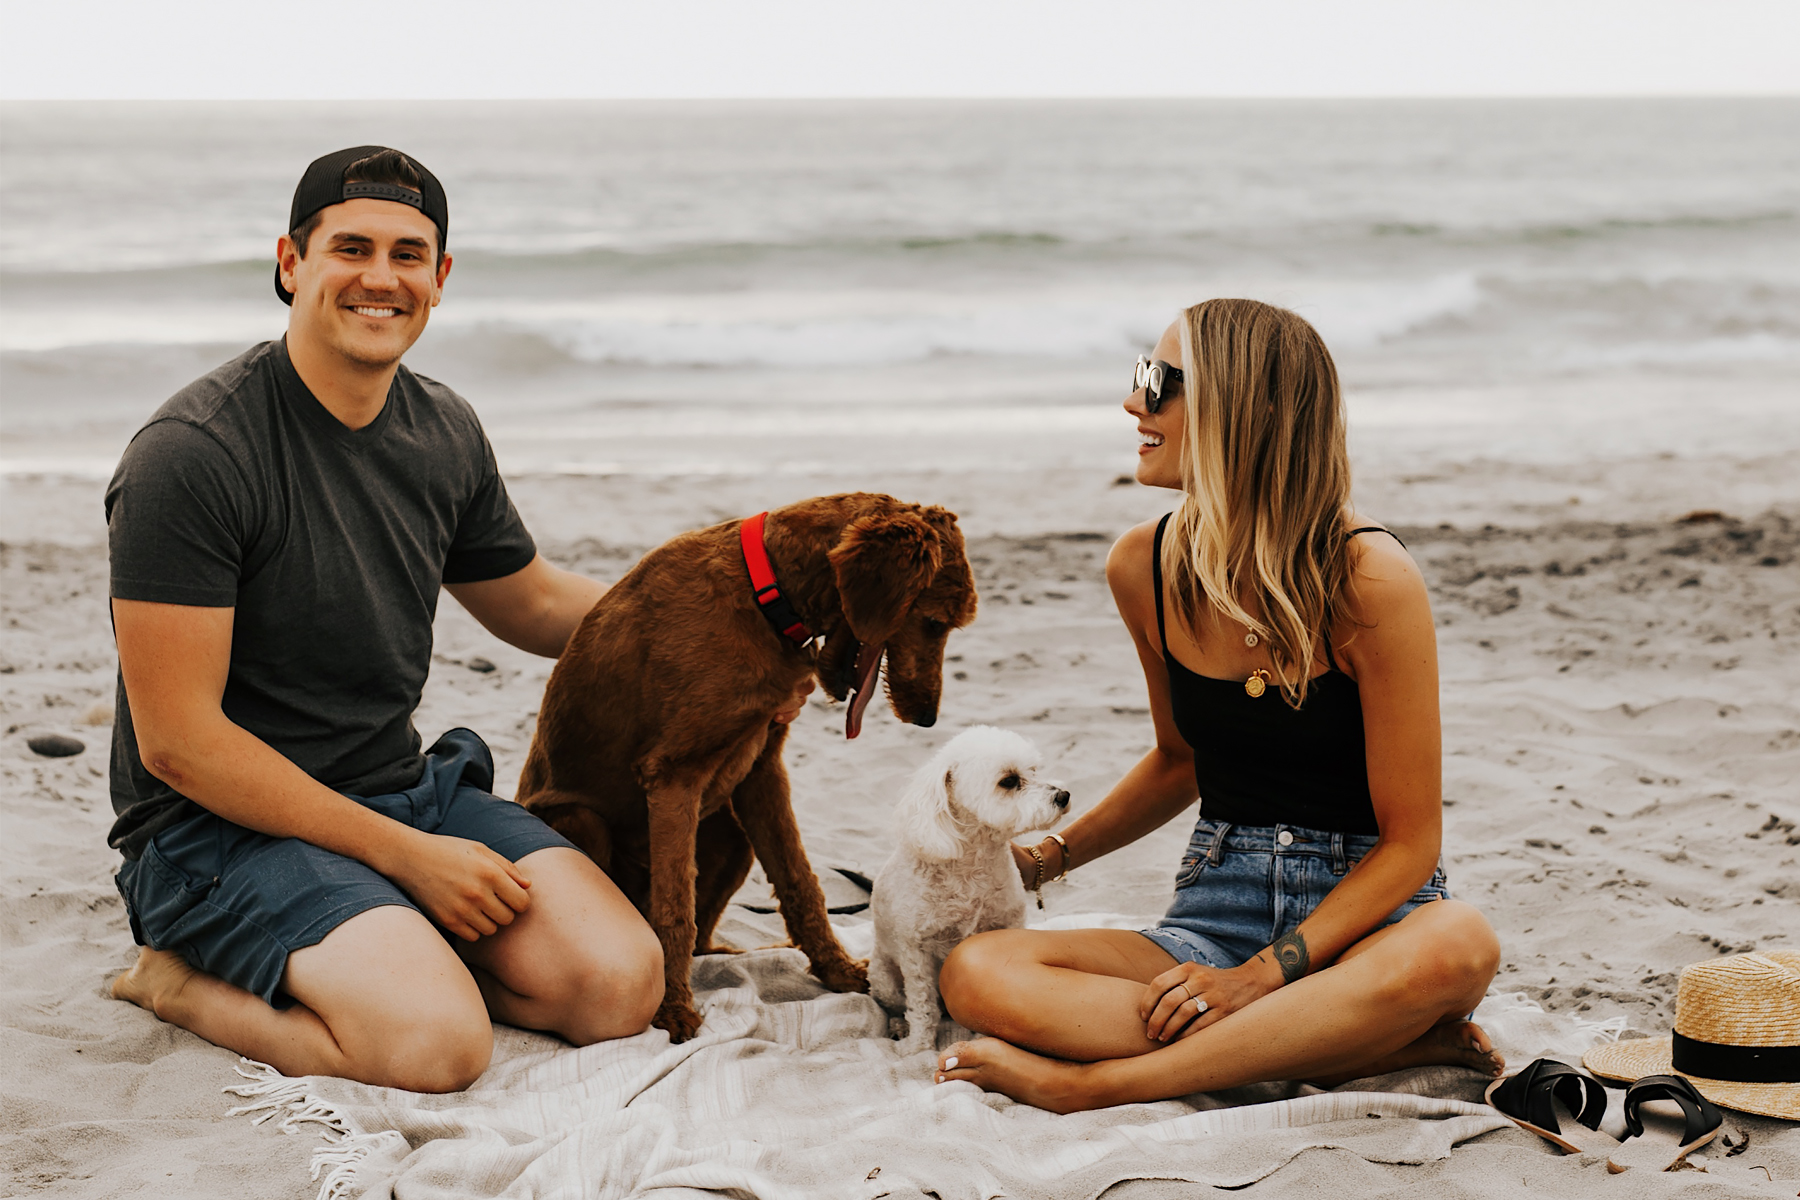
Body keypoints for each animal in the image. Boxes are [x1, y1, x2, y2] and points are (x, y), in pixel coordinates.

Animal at [514, 492, 979, 1036]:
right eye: (934, 622)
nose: (927, 718)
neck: (767, 593)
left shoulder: (763, 766)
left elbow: (801, 881)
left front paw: (840, 972)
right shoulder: (672, 775)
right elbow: (675, 908)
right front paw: (672, 1010)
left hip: (731, 836)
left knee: (703, 939)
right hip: (581, 820)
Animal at [871, 723, 1065, 1050]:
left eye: (1034, 769)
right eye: (1009, 781)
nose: (1063, 795)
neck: (972, 867)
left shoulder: (1006, 927)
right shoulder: (914, 949)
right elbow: (922, 1004)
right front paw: (918, 1048)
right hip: (883, 978)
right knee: (901, 1004)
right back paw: (899, 1025)